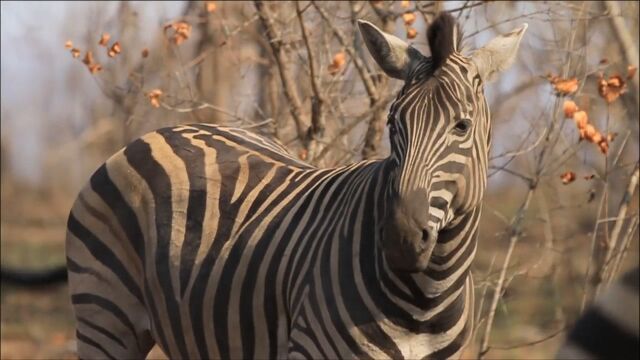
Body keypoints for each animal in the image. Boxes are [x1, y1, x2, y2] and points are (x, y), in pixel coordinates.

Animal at [63, 12, 524, 358]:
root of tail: (161, 132)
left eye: (461, 126)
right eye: (393, 124)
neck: (428, 298)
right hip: (105, 317)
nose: (400, 239)